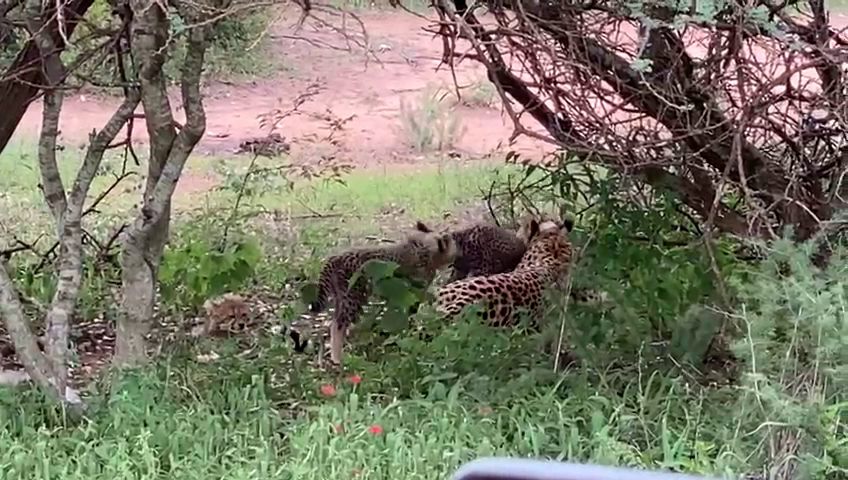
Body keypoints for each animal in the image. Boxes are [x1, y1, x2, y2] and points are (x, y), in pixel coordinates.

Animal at [310, 221, 458, 364]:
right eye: (453, 244)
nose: (457, 253)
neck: (423, 249)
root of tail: (335, 257)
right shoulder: (414, 291)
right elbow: (410, 313)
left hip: (342, 297)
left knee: (333, 322)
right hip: (353, 297)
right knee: (338, 324)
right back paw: (337, 358)